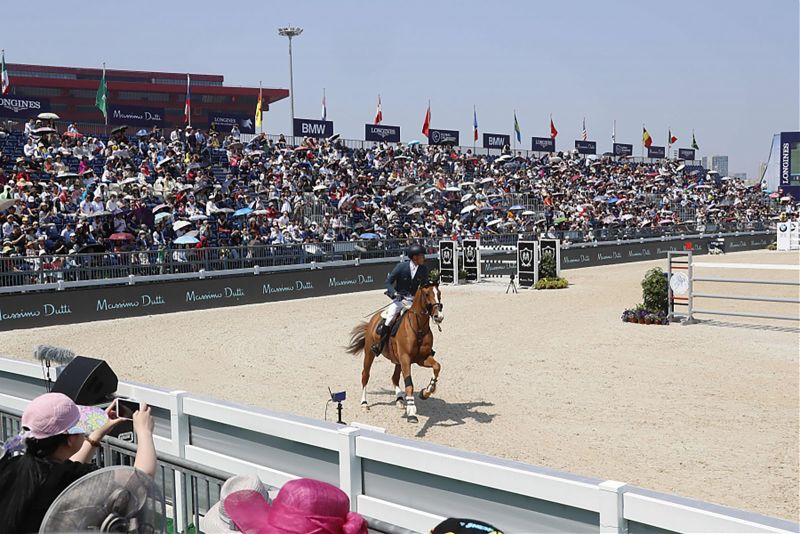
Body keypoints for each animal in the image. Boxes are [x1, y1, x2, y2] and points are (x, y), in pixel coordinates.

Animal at [344, 282, 444, 426]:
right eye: (426, 294)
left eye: (439, 294)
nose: (438, 317)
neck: (418, 327)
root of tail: (373, 319)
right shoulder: (406, 359)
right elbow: (409, 384)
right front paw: (411, 412)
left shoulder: (422, 359)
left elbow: (437, 367)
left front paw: (426, 392)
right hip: (370, 353)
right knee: (365, 375)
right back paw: (364, 403)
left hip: (397, 360)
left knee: (394, 378)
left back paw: (400, 400)